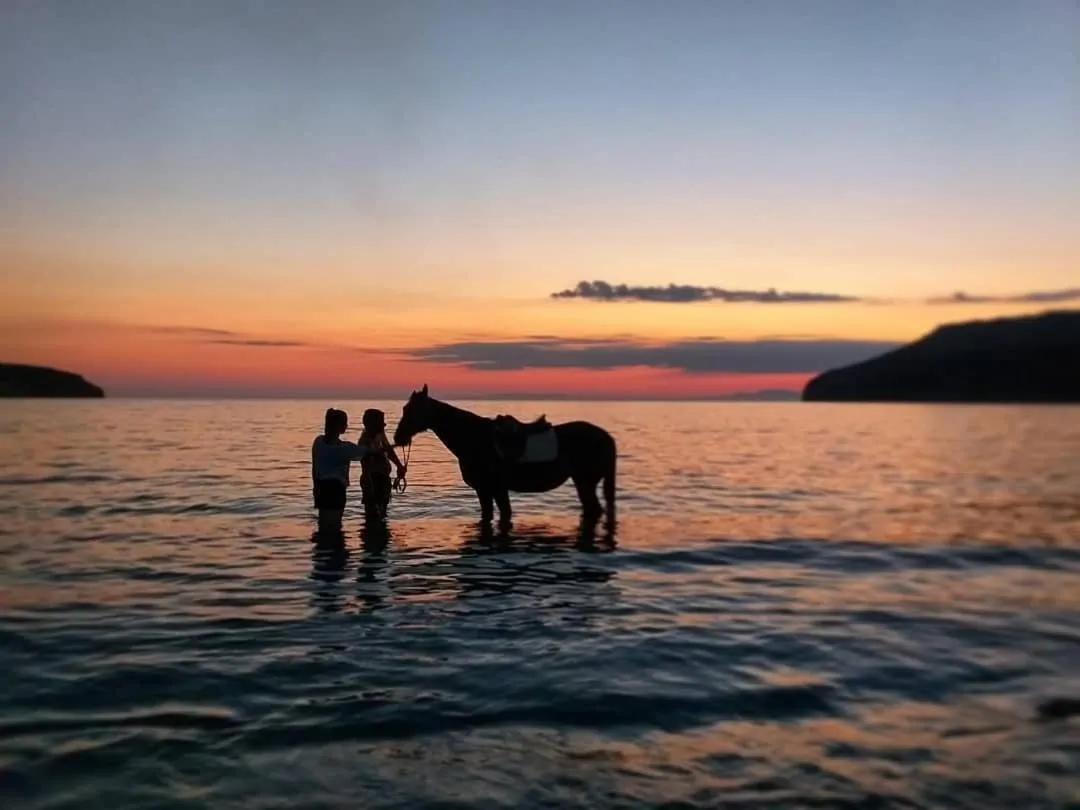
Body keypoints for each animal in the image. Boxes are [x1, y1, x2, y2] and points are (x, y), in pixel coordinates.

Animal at [392, 384, 617, 528]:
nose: (397, 437)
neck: (474, 438)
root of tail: (606, 437)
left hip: (585, 483)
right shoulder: (486, 491)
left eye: (412, 411)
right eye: (404, 408)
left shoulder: (492, 489)